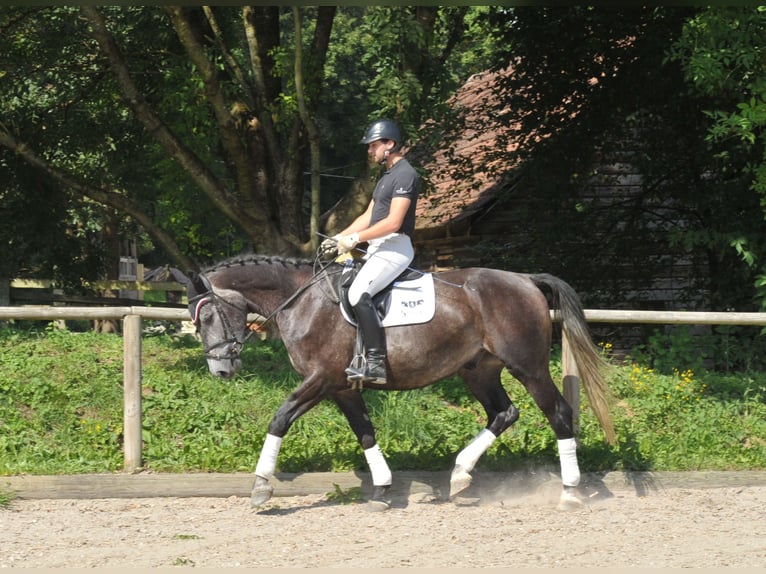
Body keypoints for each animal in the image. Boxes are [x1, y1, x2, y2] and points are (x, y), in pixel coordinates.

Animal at [188, 256, 616, 512]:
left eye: (207, 316)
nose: (221, 371)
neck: (301, 302)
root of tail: (525, 279)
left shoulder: (321, 379)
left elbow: (279, 419)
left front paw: (261, 486)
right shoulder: (342, 388)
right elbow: (365, 433)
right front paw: (381, 490)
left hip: (528, 367)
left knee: (558, 413)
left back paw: (569, 492)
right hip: (478, 370)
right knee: (503, 413)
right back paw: (459, 477)